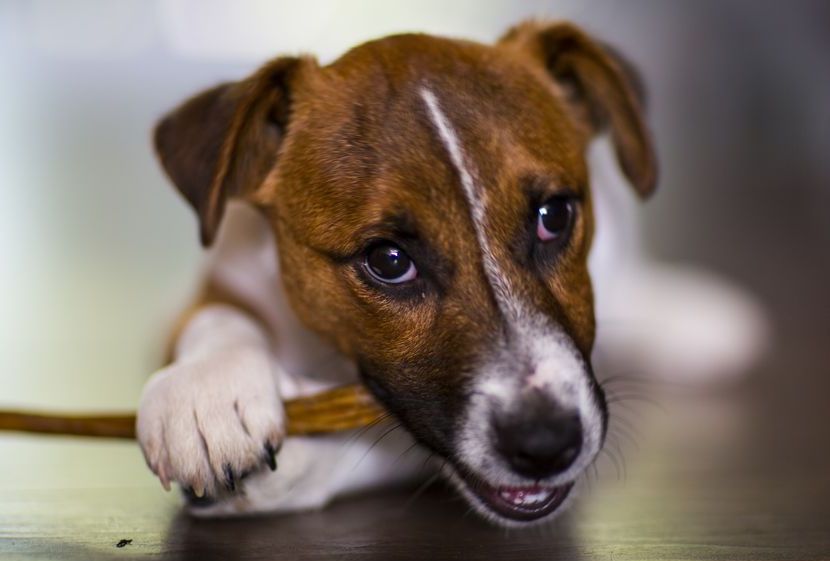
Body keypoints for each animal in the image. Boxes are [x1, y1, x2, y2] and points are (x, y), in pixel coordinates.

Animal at [136, 18, 720, 524]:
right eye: (388, 260)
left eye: (554, 215)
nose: (547, 444)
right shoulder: (227, 275)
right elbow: (217, 317)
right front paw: (208, 392)